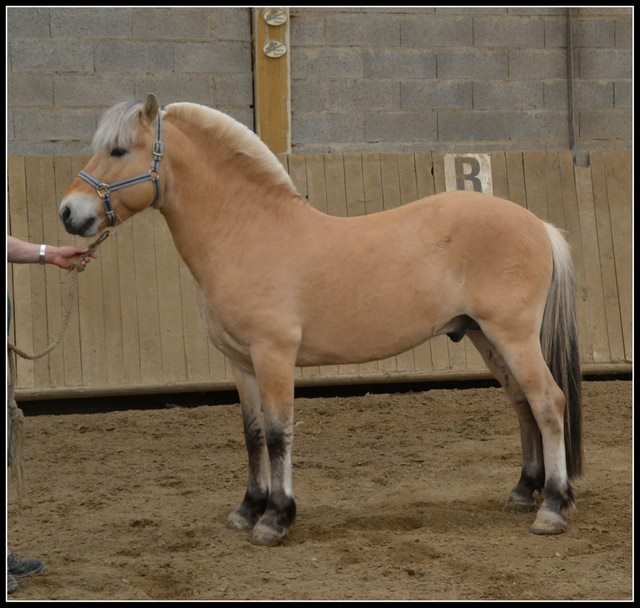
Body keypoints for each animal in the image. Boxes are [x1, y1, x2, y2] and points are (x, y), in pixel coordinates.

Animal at [57, 94, 584, 548]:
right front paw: (247, 509)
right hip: (483, 336)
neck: (246, 233)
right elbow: (252, 434)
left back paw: (552, 508)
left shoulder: (274, 356)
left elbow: (278, 433)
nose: (68, 212)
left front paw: (275, 519)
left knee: (548, 402)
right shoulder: (240, 363)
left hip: (513, 336)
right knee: (522, 403)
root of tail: (539, 226)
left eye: (119, 149)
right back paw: (524, 491)